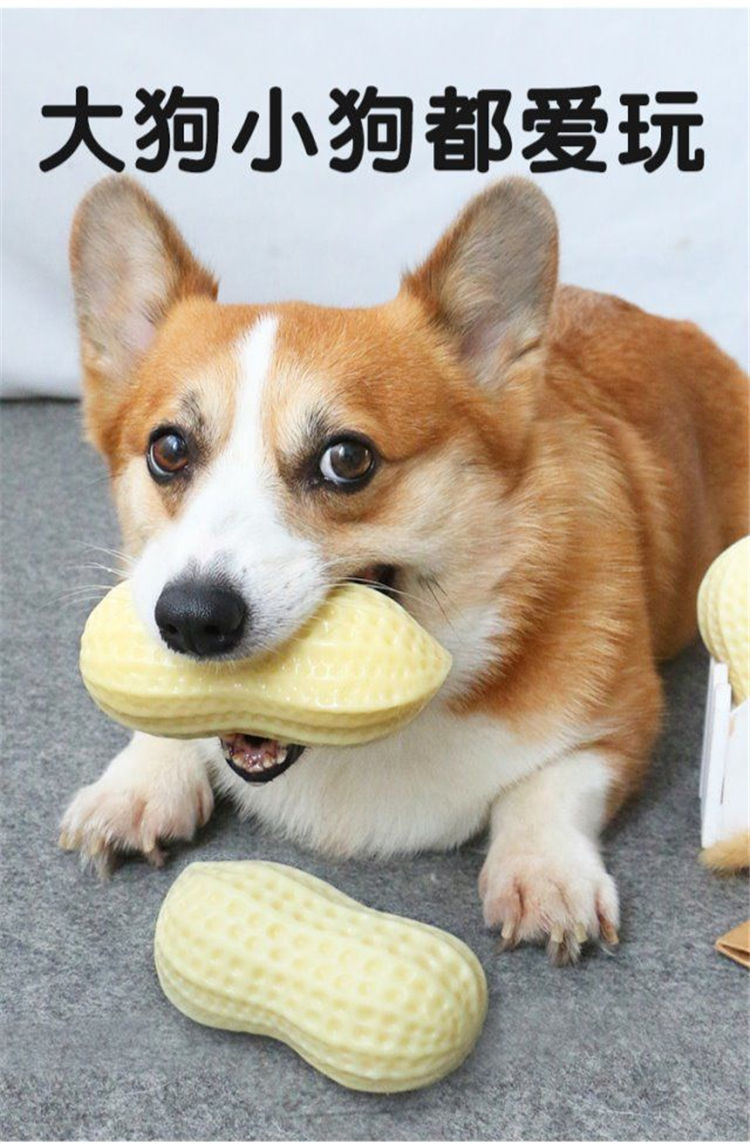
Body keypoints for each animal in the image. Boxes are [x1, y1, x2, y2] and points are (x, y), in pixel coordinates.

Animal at [59, 175, 749, 963]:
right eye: (168, 450)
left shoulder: (624, 721)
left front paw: (545, 874)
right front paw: (137, 786)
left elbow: (548, 787)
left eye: (347, 458)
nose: (193, 621)